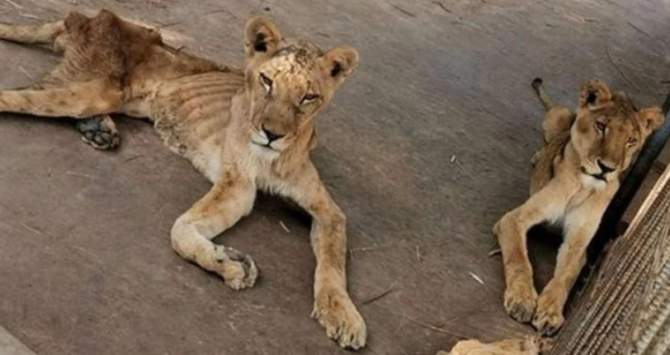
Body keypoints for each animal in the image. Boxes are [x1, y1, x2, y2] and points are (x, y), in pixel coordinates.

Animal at [0, 9, 368, 350]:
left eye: (308, 97)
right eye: (266, 81)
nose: (272, 135)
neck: (273, 157)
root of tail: (91, 17)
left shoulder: (327, 210)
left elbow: (332, 262)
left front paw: (343, 316)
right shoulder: (237, 185)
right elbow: (181, 231)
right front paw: (231, 264)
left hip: (107, 96)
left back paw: (98, 130)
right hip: (95, 90)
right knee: (15, 95)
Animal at [494, 78, 668, 336]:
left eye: (631, 141)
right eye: (601, 126)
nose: (607, 168)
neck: (583, 186)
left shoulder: (579, 242)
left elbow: (565, 277)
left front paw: (549, 312)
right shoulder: (514, 219)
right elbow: (518, 258)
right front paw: (522, 299)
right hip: (559, 116)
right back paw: (538, 155)